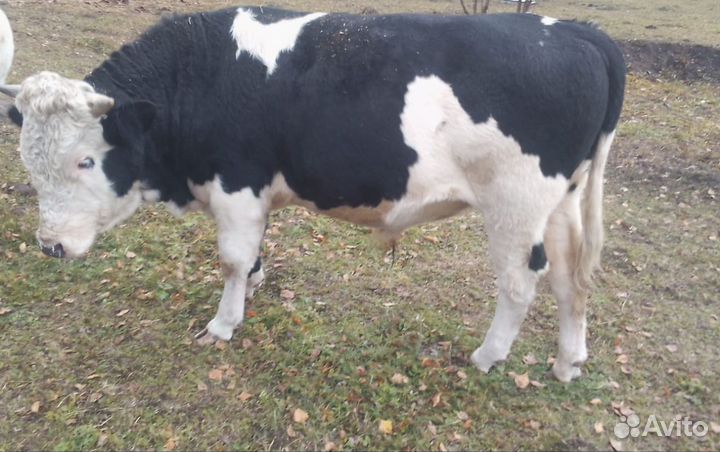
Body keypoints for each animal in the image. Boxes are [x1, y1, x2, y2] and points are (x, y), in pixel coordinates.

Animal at [0, 7, 625, 382]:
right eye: (29, 160)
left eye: (85, 160)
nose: (50, 246)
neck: (201, 73)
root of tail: (577, 30)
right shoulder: (254, 193)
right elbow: (252, 251)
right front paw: (254, 284)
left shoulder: (237, 183)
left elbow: (230, 259)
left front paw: (223, 324)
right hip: (561, 203)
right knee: (571, 278)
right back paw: (568, 361)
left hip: (516, 204)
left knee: (521, 283)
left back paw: (488, 356)